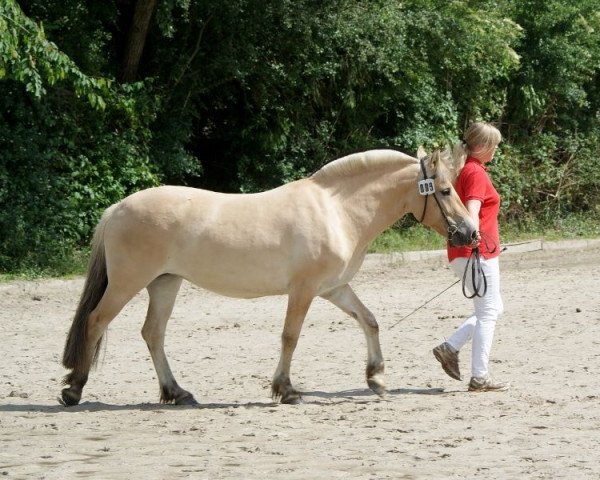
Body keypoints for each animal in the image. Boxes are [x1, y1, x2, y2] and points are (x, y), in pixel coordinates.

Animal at [61, 147, 478, 404]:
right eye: (445, 190)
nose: (470, 233)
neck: (336, 211)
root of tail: (117, 208)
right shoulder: (304, 290)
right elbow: (290, 337)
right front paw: (286, 390)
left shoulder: (334, 288)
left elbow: (369, 321)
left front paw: (376, 378)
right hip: (128, 283)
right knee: (96, 322)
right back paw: (73, 390)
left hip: (165, 283)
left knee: (153, 334)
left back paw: (177, 393)